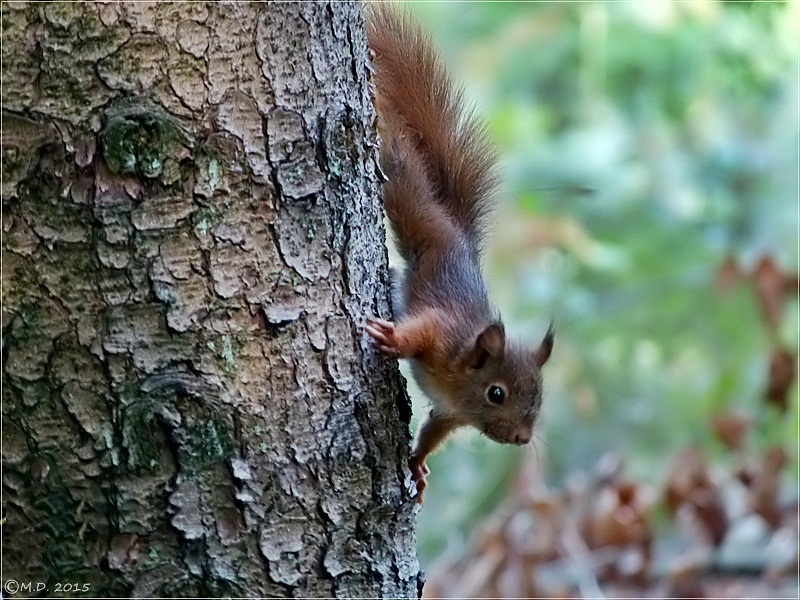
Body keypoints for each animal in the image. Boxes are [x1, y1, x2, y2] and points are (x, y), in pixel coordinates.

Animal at [366, 5, 552, 502]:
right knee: (402, 166)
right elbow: (419, 330)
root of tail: (460, 236)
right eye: (496, 394)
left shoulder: (450, 413)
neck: (461, 378)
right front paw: (394, 340)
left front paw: (417, 466)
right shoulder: (441, 332)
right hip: (416, 211)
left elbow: (433, 431)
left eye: (539, 396)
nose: (522, 438)